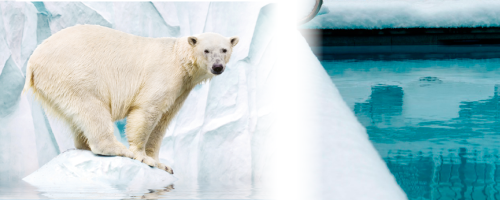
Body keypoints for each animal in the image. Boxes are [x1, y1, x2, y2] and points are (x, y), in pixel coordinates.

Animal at [24, 24, 239, 173]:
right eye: (206, 50)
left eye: (224, 50)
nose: (217, 67)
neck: (178, 58)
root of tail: (33, 61)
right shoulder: (163, 76)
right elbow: (147, 111)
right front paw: (142, 156)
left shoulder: (180, 90)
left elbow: (163, 121)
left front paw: (162, 164)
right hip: (74, 73)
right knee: (92, 108)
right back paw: (117, 148)